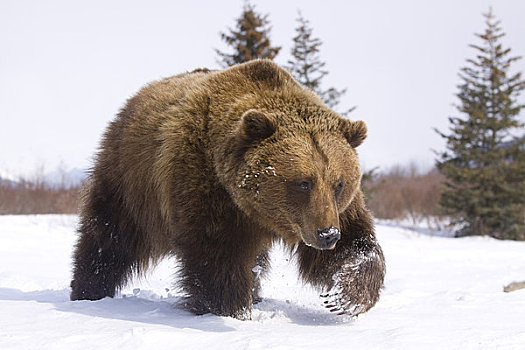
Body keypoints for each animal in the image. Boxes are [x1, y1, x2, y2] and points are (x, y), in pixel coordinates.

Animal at [70, 59, 384, 318]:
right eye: (302, 182)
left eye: (339, 183)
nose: (327, 234)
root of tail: (134, 100)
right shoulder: (208, 188)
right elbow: (218, 256)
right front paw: (230, 308)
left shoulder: (334, 210)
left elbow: (355, 243)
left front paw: (345, 295)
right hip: (130, 178)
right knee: (110, 235)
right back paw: (88, 289)